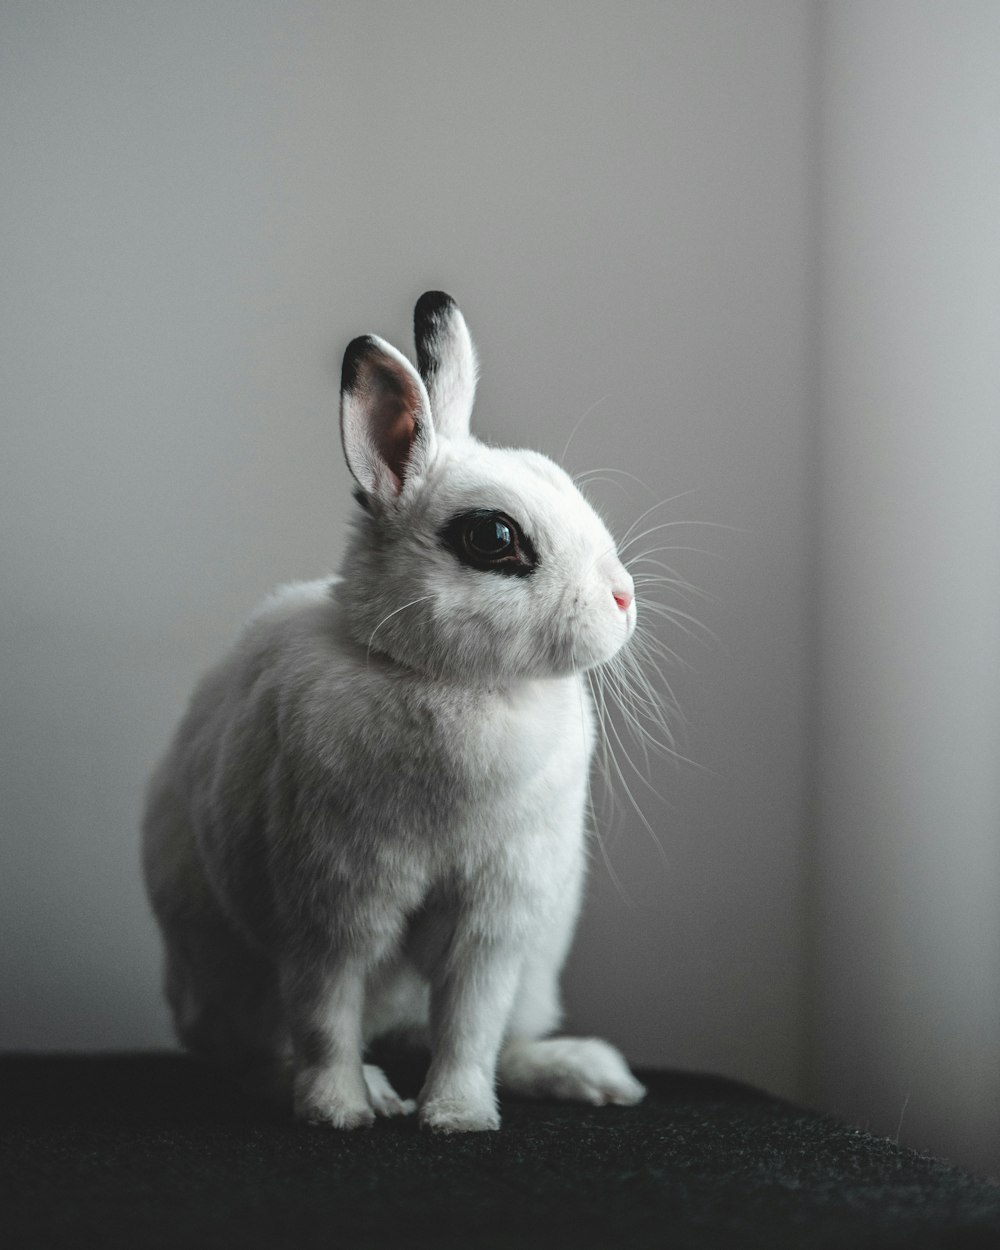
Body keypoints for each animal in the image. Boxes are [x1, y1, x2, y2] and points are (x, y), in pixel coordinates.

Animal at [142, 292, 650, 1135]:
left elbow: (471, 1024)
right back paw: (367, 1089)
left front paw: (457, 1117)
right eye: (495, 535)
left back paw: (587, 1073)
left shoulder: (495, 921)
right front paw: (339, 1112)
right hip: (227, 977)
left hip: (538, 967)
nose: (622, 599)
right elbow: (326, 1017)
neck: (450, 681)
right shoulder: (331, 907)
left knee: (506, 1034)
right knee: (255, 1052)